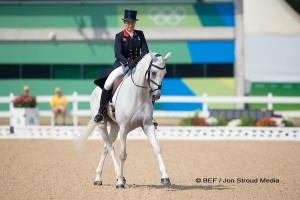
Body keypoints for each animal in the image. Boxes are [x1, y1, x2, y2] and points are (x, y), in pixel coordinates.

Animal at [75, 51, 171, 189]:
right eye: (153, 72)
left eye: (165, 73)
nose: (156, 96)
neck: (138, 94)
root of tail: (95, 90)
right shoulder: (124, 128)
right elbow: (122, 154)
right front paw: (120, 182)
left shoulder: (147, 125)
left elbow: (157, 148)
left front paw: (165, 177)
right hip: (102, 125)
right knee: (110, 148)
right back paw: (117, 176)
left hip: (115, 127)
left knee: (105, 147)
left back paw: (99, 177)